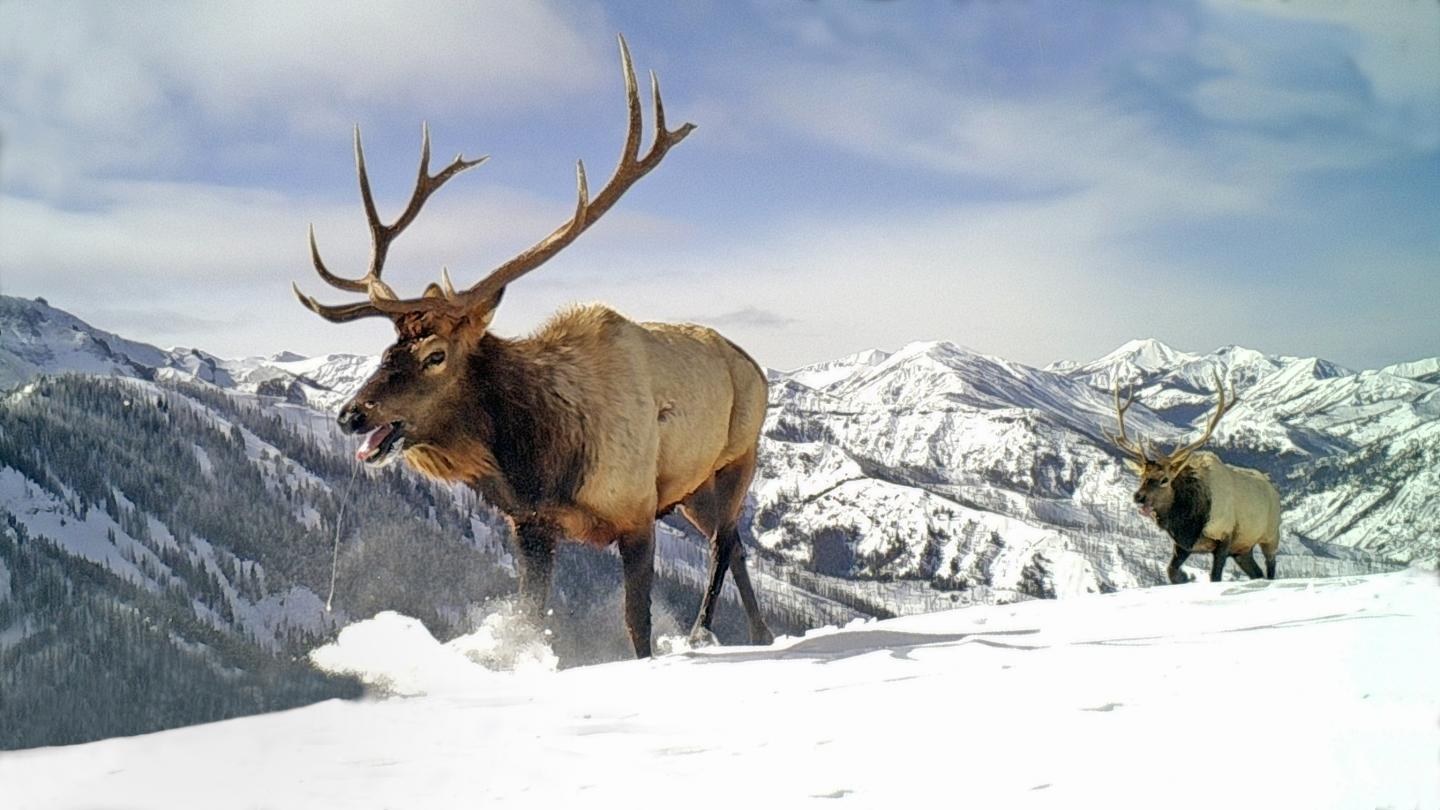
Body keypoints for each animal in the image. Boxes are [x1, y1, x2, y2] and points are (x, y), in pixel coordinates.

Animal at [290, 39, 777, 657]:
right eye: (385, 351)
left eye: (435, 356)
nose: (351, 414)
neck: (540, 459)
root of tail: (755, 365)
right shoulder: (531, 525)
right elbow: (531, 618)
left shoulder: (636, 512)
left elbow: (636, 624)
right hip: (692, 488)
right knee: (733, 541)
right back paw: (760, 631)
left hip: (738, 457)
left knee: (723, 542)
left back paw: (702, 630)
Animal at [1100, 371, 1284, 579]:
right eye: (1141, 477)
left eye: (1165, 480)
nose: (1138, 496)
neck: (1189, 521)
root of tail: (1273, 490)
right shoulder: (1183, 545)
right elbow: (1171, 571)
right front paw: (1184, 577)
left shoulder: (1225, 536)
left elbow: (1215, 577)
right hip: (1242, 549)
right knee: (1257, 573)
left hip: (1271, 535)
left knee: (1270, 568)